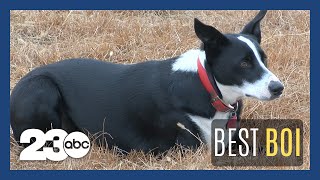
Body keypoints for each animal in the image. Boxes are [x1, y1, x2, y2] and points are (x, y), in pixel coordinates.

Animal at [11, 10, 284, 155]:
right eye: (244, 63)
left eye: (263, 59)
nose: (279, 88)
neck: (208, 87)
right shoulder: (190, 148)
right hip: (42, 88)